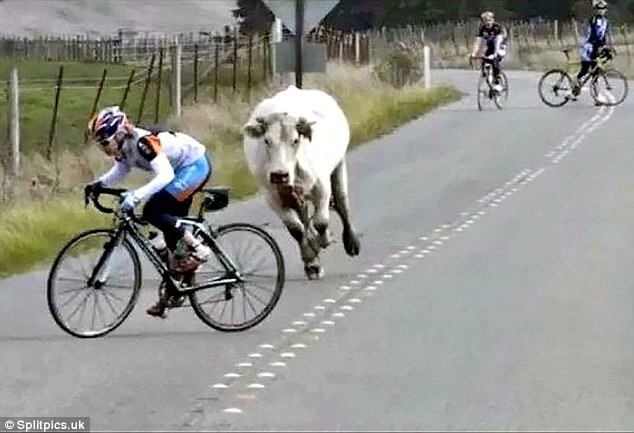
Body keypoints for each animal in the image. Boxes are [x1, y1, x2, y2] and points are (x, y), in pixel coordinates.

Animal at [242, 85, 361, 280]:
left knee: (342, 202)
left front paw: (323, 241)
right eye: (267, 140)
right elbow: (296, 229)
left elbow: (321, 221)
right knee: (305, 217)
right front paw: (311, 262)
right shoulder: (273, 197)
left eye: (295, 140)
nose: (279, 174)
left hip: (339, 166)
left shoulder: (322, 187)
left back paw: (351, 242)